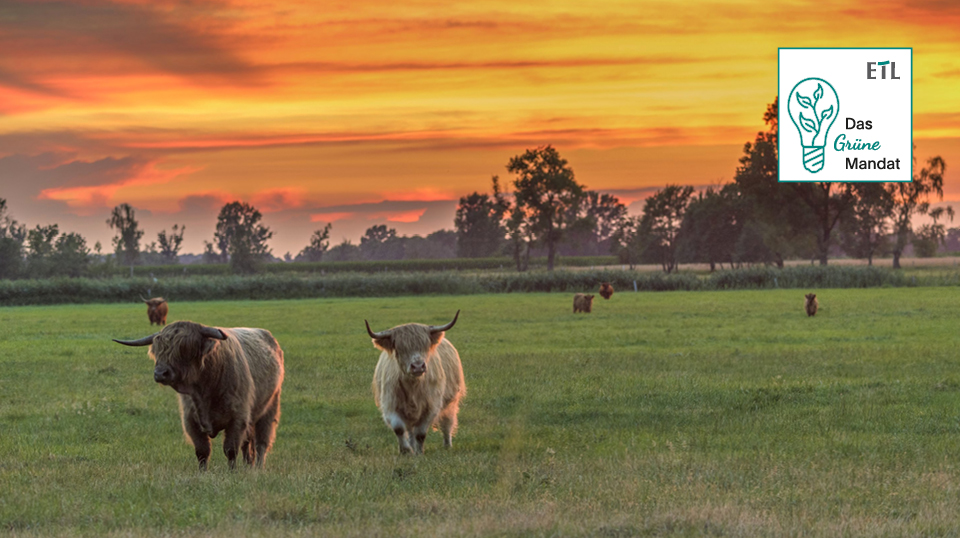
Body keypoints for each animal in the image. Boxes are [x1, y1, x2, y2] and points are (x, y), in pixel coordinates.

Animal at [112, 320, 284, 466]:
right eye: (158, 350)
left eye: (185, 348)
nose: (160, 373)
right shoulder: (190, 421)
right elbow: (202, 451)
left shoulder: (238, 418)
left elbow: (230, 450)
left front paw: (232, 473)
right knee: (248, 444)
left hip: (270, 408)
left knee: (261, 443)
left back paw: (258, 468)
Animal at [366, 310, 466, 452]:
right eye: (400, 348)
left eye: (425, 346)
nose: (418, 366)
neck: (412, 386)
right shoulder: (390, 405)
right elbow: (399, 429)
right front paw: (406, 450)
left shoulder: (431, 407)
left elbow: (421, 433)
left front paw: (419, 452)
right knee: (410, 430)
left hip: (450, 401)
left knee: (447, 423)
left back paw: (447, 445)